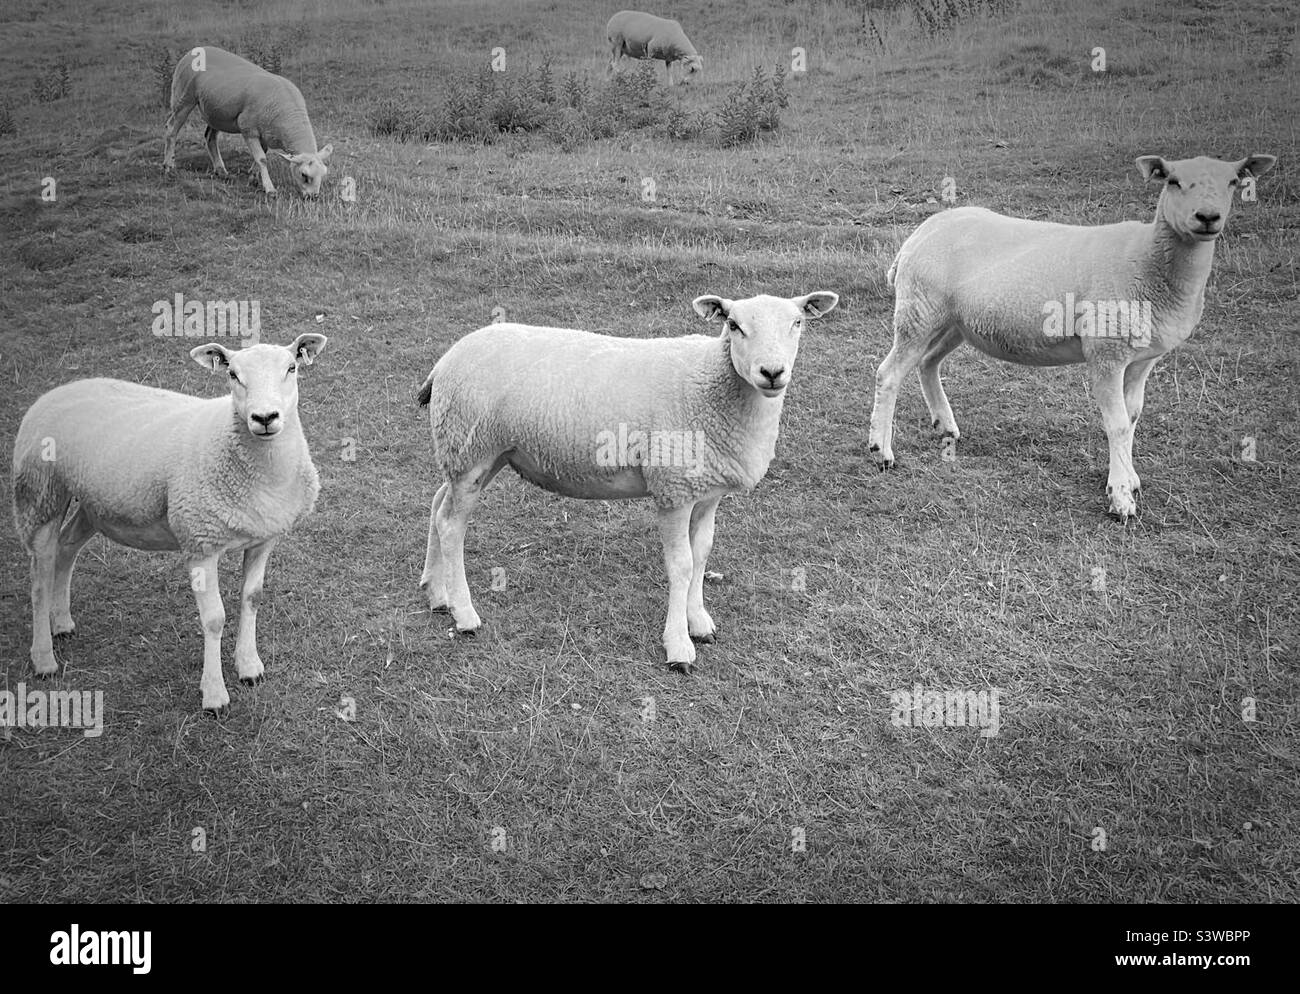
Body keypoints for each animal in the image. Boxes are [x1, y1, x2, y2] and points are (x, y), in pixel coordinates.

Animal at [12, 332, 327, 712]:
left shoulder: (263, 538)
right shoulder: (199, 542)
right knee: (39, 578)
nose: (264, 417)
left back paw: (62, 622)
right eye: (232, 374)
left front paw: (249, 667)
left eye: (292, 367)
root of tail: (56, 391)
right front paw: (214, 694)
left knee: (67, 548)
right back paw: (44, 657)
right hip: (39, 492)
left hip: (93, 502)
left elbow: (252, 598)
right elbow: (214, 619)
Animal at [160, 44, 332, 196]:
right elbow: (262, 159)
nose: (313, 197)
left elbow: (260, 156)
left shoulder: (265, 132)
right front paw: (269, 189)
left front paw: (253, 178)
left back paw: (221, 171)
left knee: (210, 137)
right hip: (184, 96)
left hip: (216, 111)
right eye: (304, 175)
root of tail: (195, 50)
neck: (288, 116)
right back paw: (169, 167)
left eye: (323, 174)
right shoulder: (248, 128)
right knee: (171, 128)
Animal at [416, 291, 842, 670]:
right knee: (451, 525)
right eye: (734, 325)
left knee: (438, 504)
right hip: (470, 447)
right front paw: (679, 646)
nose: (772, 372)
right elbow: (682, 564)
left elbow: (702, 553)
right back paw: (465, 614)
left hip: (479, 455)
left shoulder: (706, 492)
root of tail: (445, 360)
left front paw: (699, 621)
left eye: (798, 322)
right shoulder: (673, 490)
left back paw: (437, 593)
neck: (712, 384)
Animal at [868, 153, 1274, 519]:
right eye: (1172, 181)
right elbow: (1117, 423)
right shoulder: (1106, 352)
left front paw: (1129, 479)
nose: (1208, 217)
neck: (1149, 260)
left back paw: (945, 427)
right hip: (920, 308)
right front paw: (1120, 499)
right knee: (889, 374)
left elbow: (1133, 416)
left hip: (953, 320)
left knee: (927, 362)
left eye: (1233, 182)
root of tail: (919, 234)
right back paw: (881, 451)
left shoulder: (1143, 359)